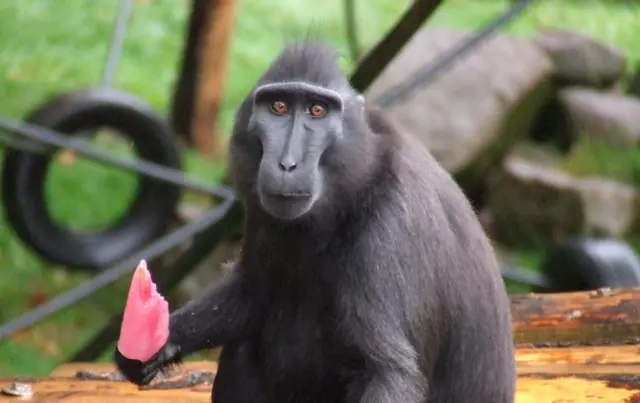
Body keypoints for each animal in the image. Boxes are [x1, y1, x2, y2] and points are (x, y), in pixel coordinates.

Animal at [115, 41, 516, 403]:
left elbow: (388, 373)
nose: (287, 163)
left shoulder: (388, 230)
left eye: (318, 111)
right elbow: (253, 291)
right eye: (278, 107)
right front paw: (156, 344)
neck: (358, 185)